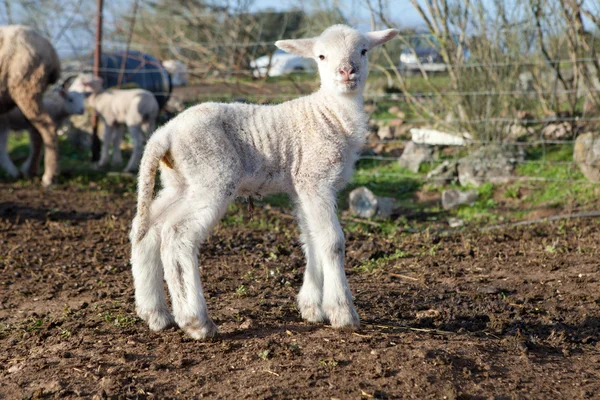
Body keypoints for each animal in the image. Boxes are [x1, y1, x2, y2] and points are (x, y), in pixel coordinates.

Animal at [129, 24, 398, 340]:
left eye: (364, 51)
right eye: (321, 56)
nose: (347, 71)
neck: (330, 113)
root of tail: (165, 134)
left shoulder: (300, 185)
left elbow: (310, 239)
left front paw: (312, 308)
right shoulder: (316, 178)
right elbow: (332, 242)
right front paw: (342, 312)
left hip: (180, 183)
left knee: (148, 229)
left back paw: (156, 314)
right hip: (212, 176)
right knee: (176, 235)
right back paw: (196, 321)